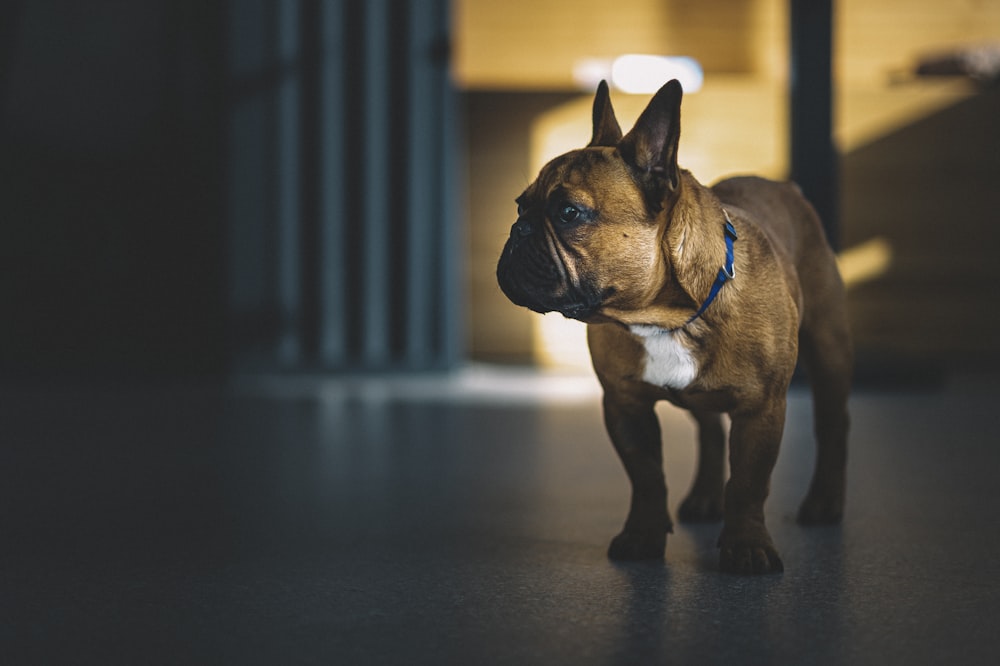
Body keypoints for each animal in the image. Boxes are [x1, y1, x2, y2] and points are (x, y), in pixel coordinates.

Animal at [494, 81, 852, 572]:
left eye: (568, 213)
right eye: (519, 205)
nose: (518, 230)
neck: (664, 318)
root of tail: (787, 187)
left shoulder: (761, 409)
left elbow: (748, 483)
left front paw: (747, 546)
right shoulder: (625, 405)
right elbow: (646, 477)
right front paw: (642, 536)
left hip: (829, 350)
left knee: (833, 425)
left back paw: (825, 503)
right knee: (710, 431)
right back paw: (704, 497)